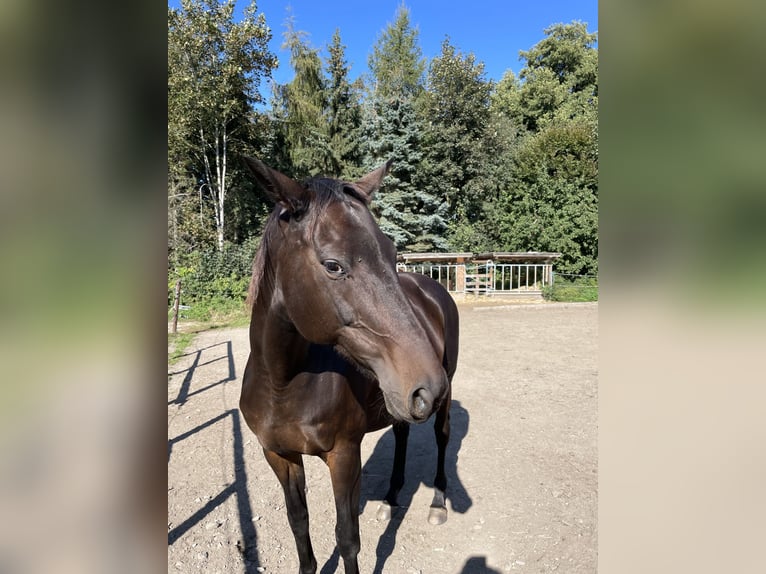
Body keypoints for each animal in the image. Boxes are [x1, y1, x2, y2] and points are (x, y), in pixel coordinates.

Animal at [240, 159, 460, 574]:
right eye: (332, 265)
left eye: (391, 254)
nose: (427, 384)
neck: (282, 385)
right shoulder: (279, 456)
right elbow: (299, 525)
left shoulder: (343, 455)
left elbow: (347, 538)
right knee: (402, 433)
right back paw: (391, 499)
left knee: (442, 437)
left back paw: (438, 503)